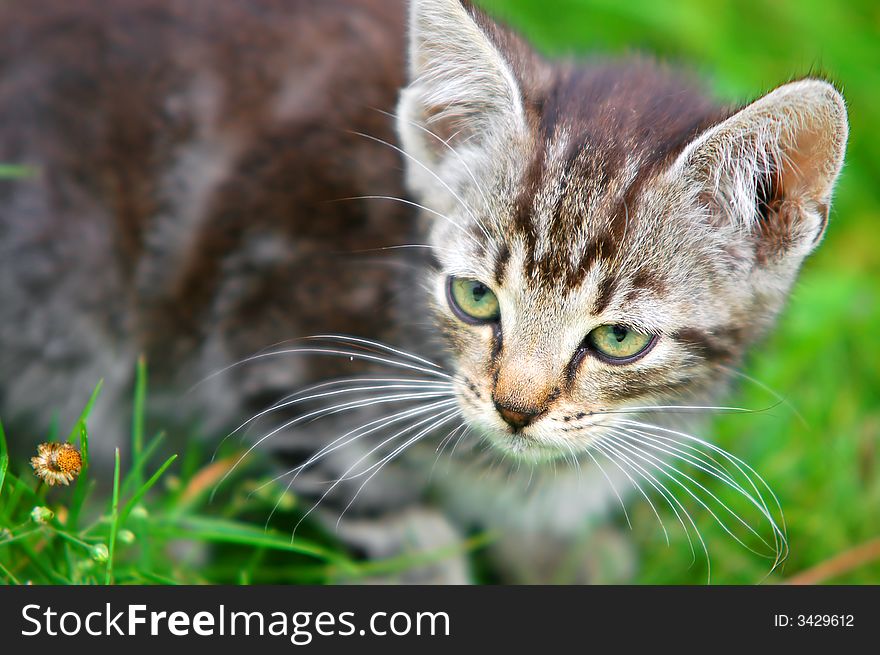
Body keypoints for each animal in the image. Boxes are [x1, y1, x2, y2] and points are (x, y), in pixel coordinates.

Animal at [1, 0, 852, 584]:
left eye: (618, 338)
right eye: (474, 297)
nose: (515, 408)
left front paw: (559, 555)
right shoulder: (281, 353)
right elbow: (385, 514)